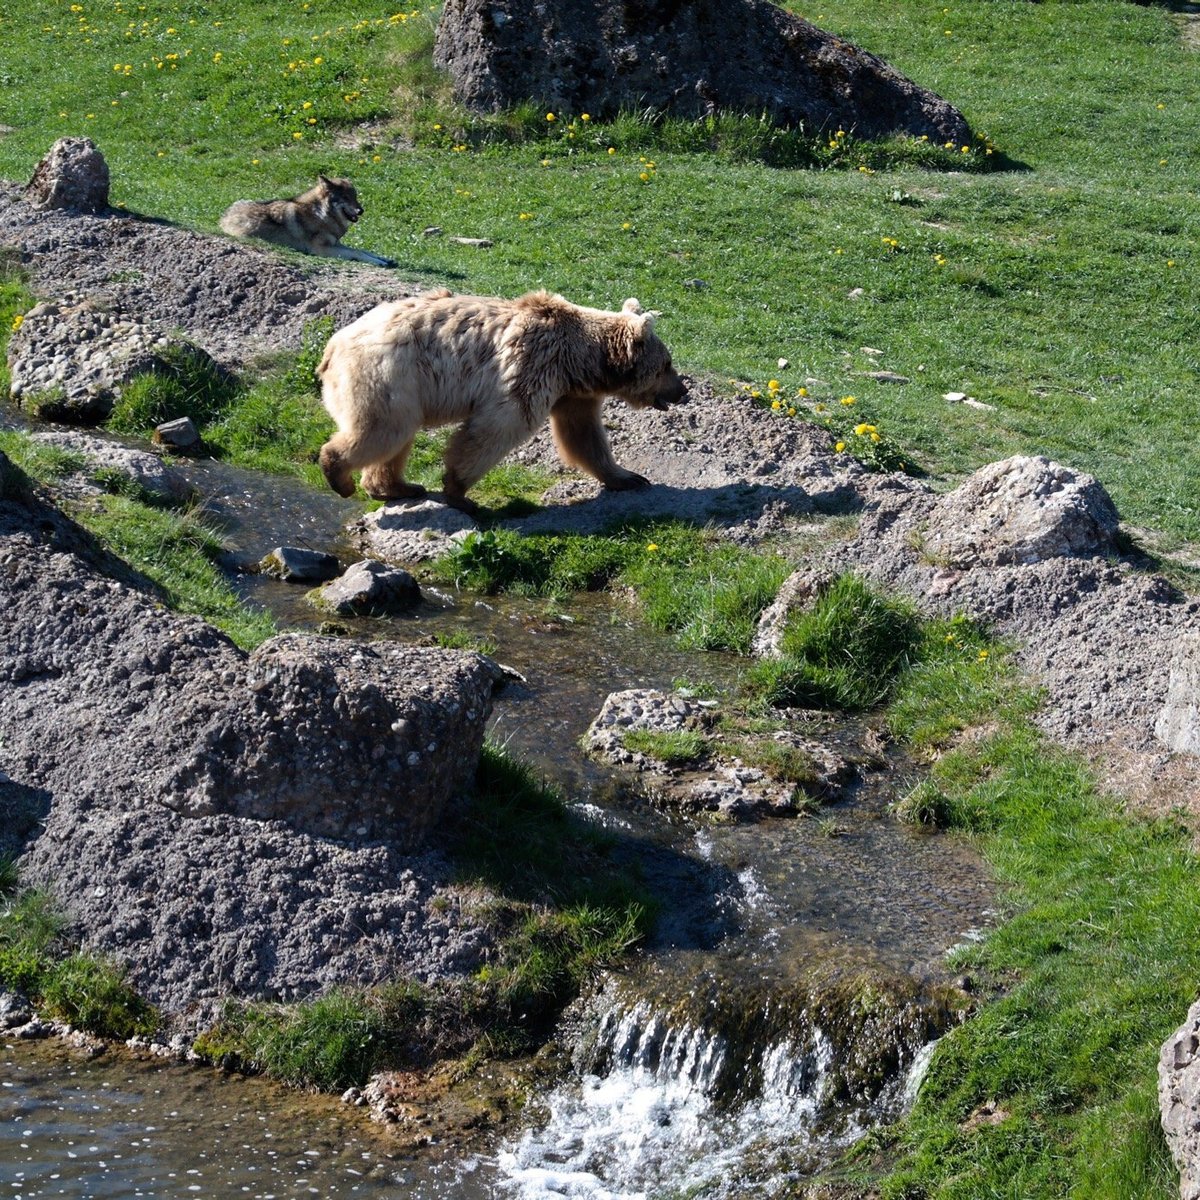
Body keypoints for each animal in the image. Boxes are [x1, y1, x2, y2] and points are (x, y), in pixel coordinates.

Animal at [218, 174, 396, 267]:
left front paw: (385, 259)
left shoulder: (336, 243)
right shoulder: (321, 249)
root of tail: (223, 218)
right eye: (345, 197)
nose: (361, 210)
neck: (322, 214)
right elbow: (357, 252)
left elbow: (363, 250)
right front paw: (379, 262)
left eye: (355, 197)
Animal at [314, 294, 691, 516]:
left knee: (395, 437)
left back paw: (395, 486)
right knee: (381, 430)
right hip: (389, 377)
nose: (683, 391)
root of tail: (332, 345)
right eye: (667, 364)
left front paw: (629, 477)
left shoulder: (573, 394)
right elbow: (499, 425)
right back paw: (339, 474)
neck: (580, 360)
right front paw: (460, 492)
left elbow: (584, 436)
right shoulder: (532, 364)